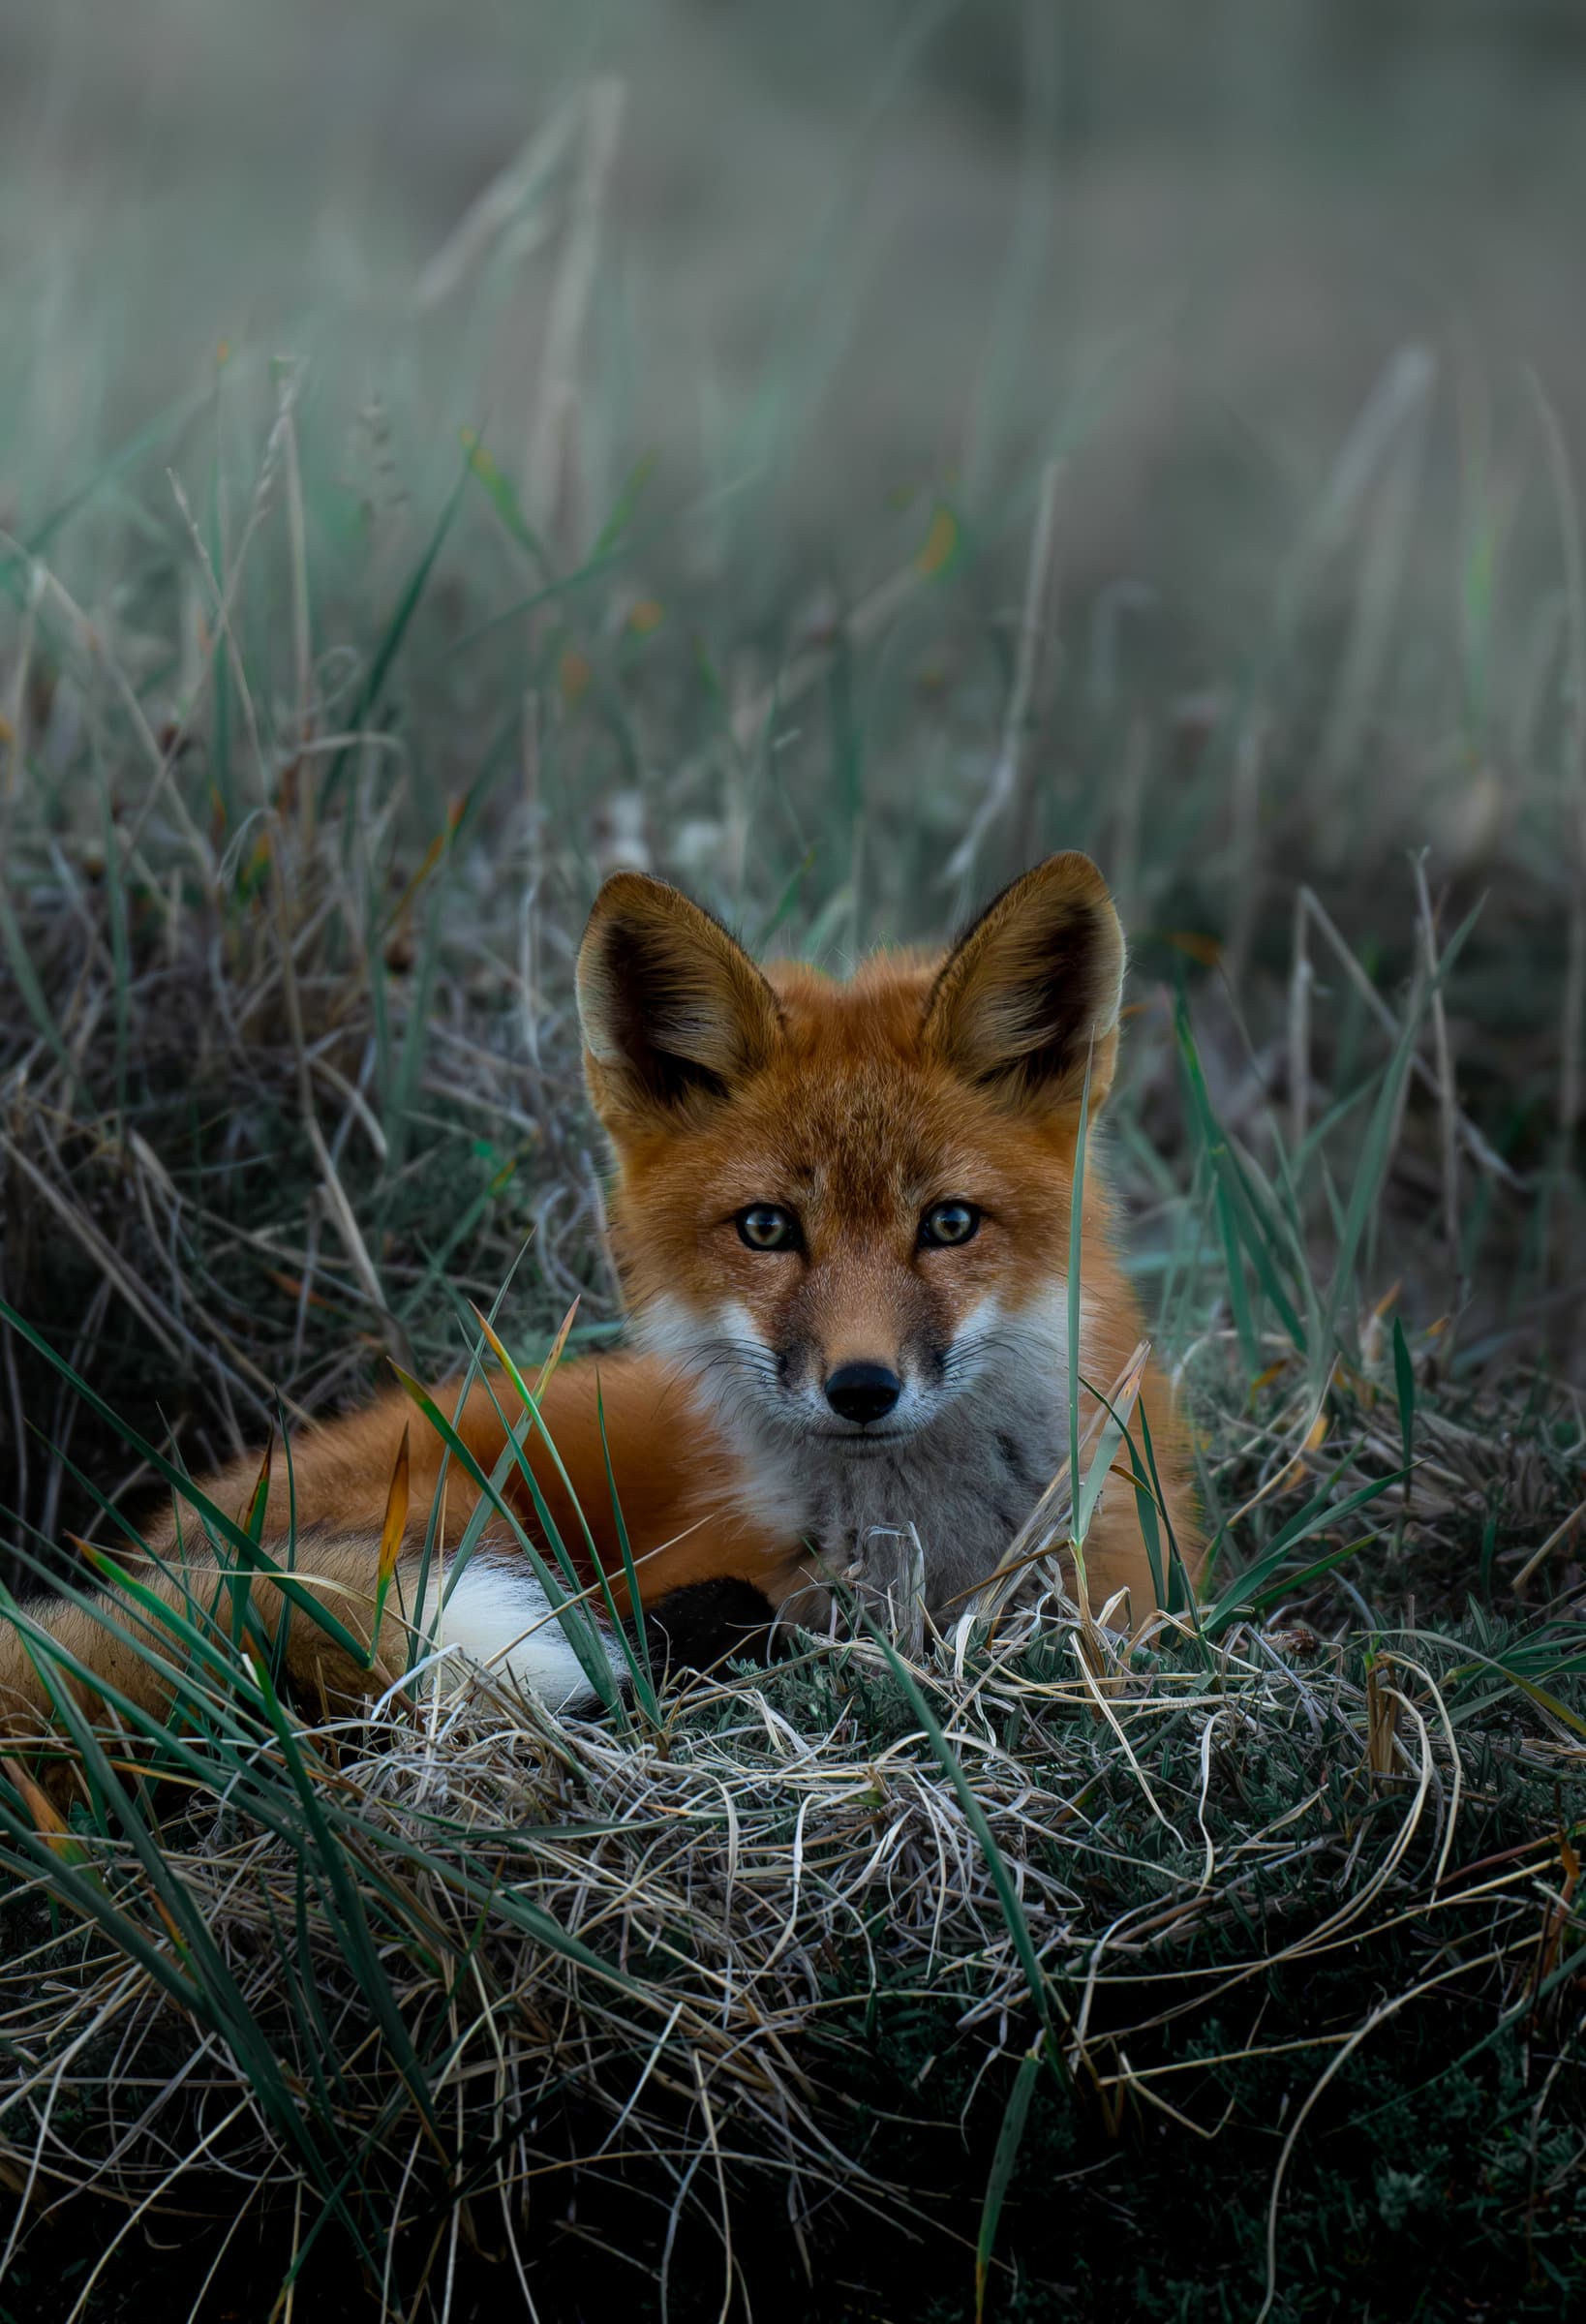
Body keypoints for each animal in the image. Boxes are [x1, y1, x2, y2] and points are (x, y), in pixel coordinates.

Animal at [0, 851, 1198, 1758]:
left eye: (949, 1224)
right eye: (768, 1229)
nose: (862, 1389)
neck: (916, 1565)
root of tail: (157, 1544)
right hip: (462, 1518)